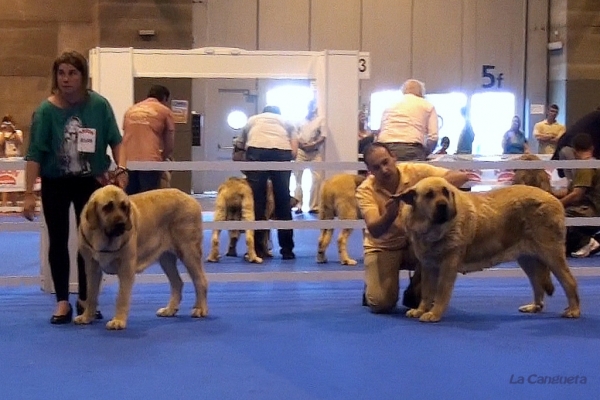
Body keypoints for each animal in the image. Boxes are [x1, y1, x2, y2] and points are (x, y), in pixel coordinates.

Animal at [75, 186, 209, 330]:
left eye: (124, 207)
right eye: (107, 207)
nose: (122, 224)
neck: (103, 236)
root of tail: (190, 198)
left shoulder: (126, 268)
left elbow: (121, 297)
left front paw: (118, 320)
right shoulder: (92, 267)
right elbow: (91, 294)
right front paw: (86, 317)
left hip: (188, 252)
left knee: (200, 280)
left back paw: (200, 309)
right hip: (166, 259)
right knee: (177, 282)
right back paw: (169, 310)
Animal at [398, 177, 580, 324]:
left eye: (446, 192)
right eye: (429, 195)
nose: (443, 205)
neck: (434, 229)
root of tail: (555, 199)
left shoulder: (448, 266)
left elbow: (441, 292)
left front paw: (434, 314)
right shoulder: (428, 265)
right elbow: (427, 292)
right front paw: (420, 310)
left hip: (551, 254)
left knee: (569, 281)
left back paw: (574, 310)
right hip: (527, 259)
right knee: (537, 283)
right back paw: (534, 307)